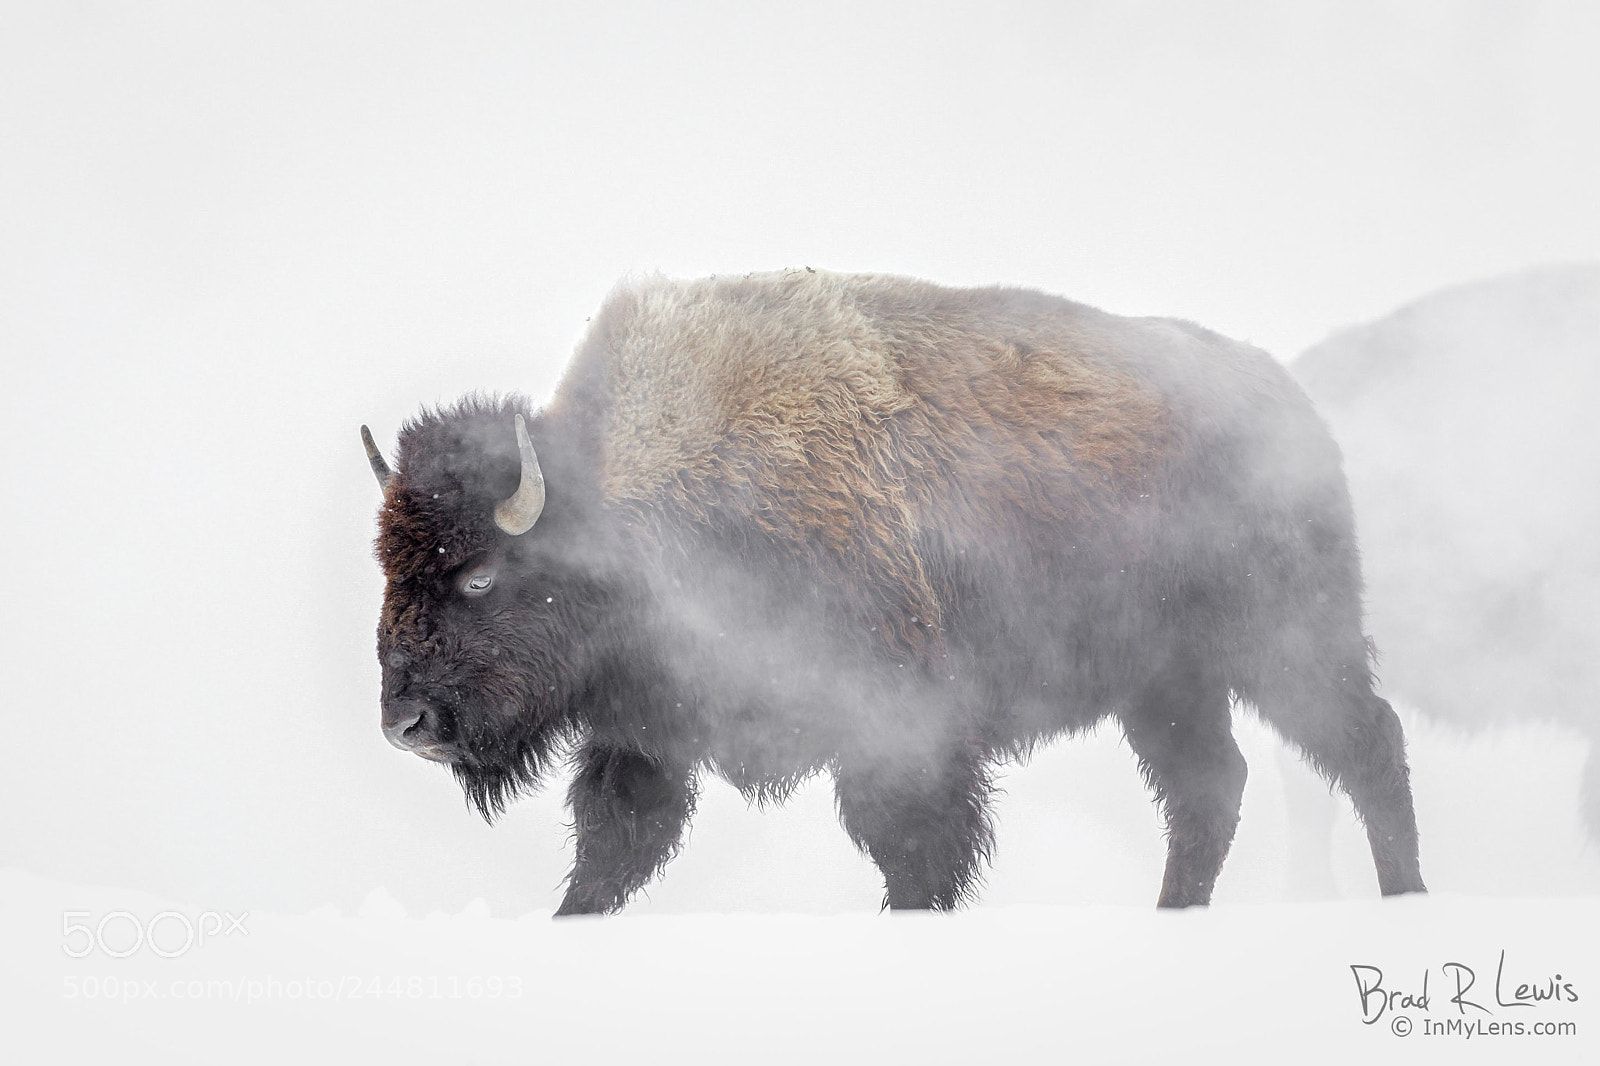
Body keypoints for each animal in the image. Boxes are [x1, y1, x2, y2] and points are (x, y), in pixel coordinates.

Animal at [360, 269, 1426, 914]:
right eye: (387, 571)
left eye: (480, 574)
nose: (405, 724)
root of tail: (1288, 403)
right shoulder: (647, 737)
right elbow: (609, 851)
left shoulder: (899, 737)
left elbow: (914, 853)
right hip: (1164, 685)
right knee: (1211, 787)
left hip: (1286, 646)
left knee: (1366, 745)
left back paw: (1405, 899)